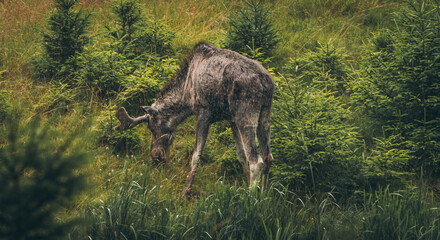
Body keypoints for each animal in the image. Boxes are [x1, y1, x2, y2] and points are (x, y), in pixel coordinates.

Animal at [117, 42, 276, 197]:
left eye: (151, 127)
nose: (156, 158)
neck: (186, 94)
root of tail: (266, 83)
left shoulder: (204, 112)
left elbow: (196, 156)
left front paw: (185, 191)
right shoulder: (231, 119)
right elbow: (241, 156)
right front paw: (246, 183)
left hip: (246, 115)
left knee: (256, 161)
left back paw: (251, 198)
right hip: (264, 115)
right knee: (268, 157)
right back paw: (263, 195)